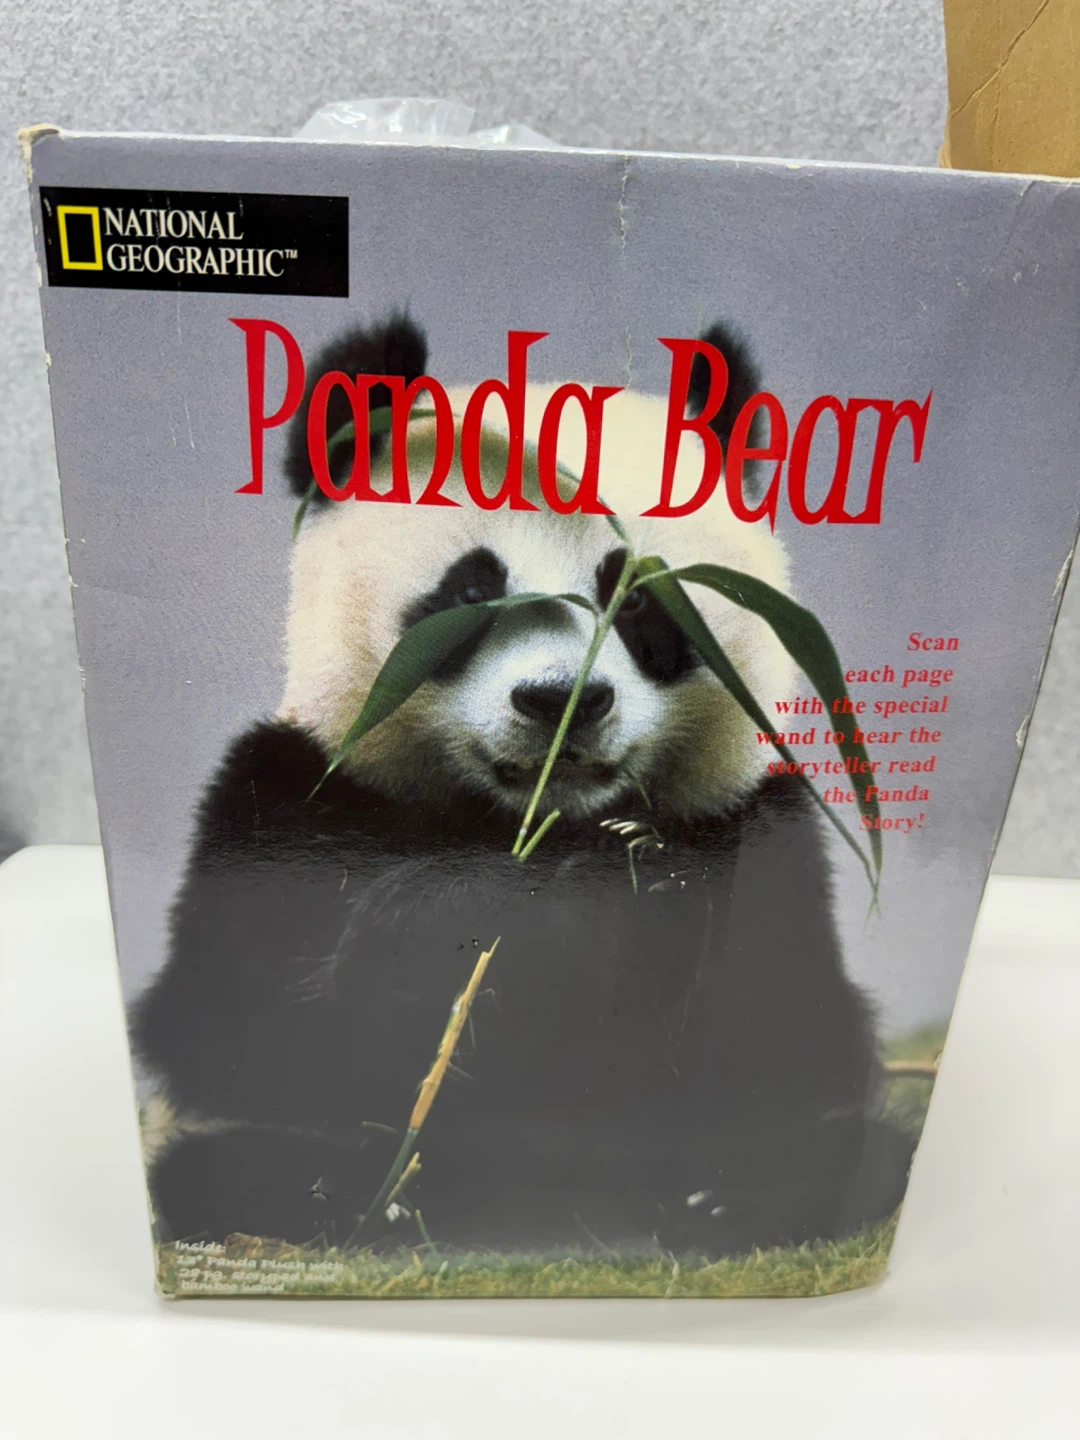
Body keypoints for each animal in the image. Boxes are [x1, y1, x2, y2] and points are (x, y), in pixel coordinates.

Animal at [133, 314, 914, 1258]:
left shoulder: (761, 827)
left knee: (843, 1154)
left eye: (640, 598)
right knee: (235, 1168)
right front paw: (543, 903)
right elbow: (243, 1030)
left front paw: (636, 886)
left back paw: (724, 1198)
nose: (559, 701)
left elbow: (791, 1036)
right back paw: (361, 1196)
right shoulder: (288, 796)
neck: (531, 818)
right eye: (471, 591)